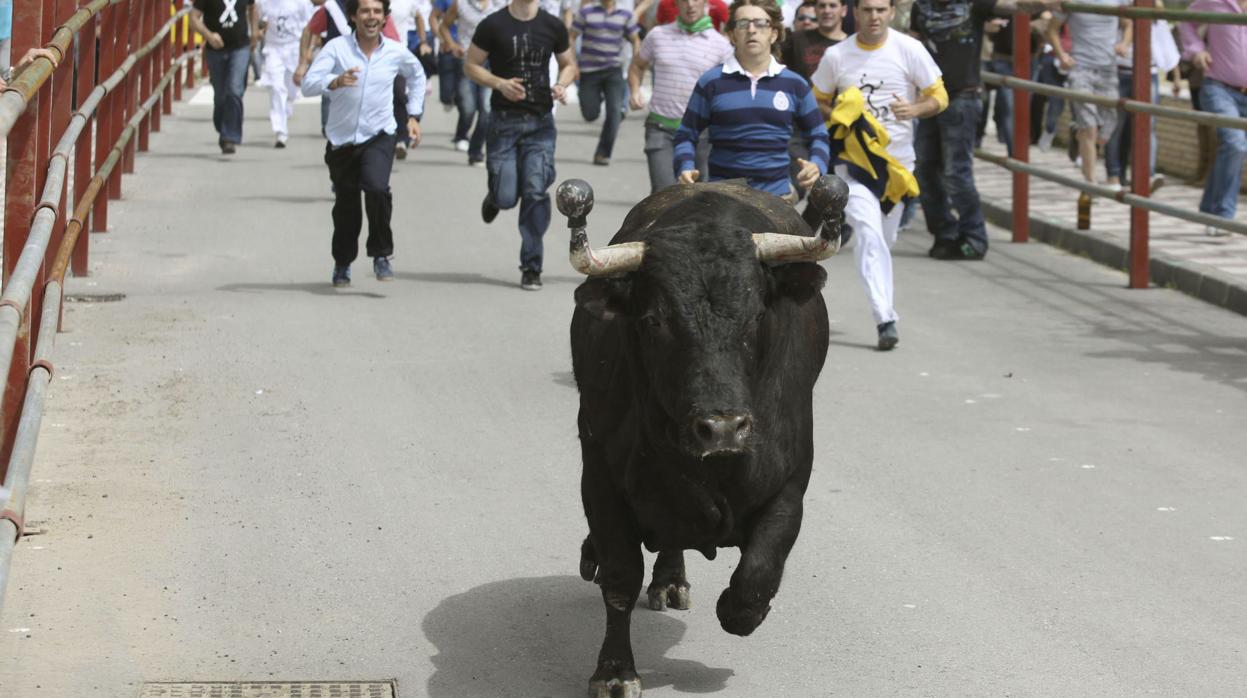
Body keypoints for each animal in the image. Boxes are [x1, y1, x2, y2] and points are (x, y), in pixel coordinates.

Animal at [563, 176, 847, 693]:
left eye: (756, 316)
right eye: (654, 319)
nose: (722, 429)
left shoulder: (790, 484)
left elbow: (757, 576)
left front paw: (737, 608)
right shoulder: (601, 479)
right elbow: (620, 578)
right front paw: (614, 671)